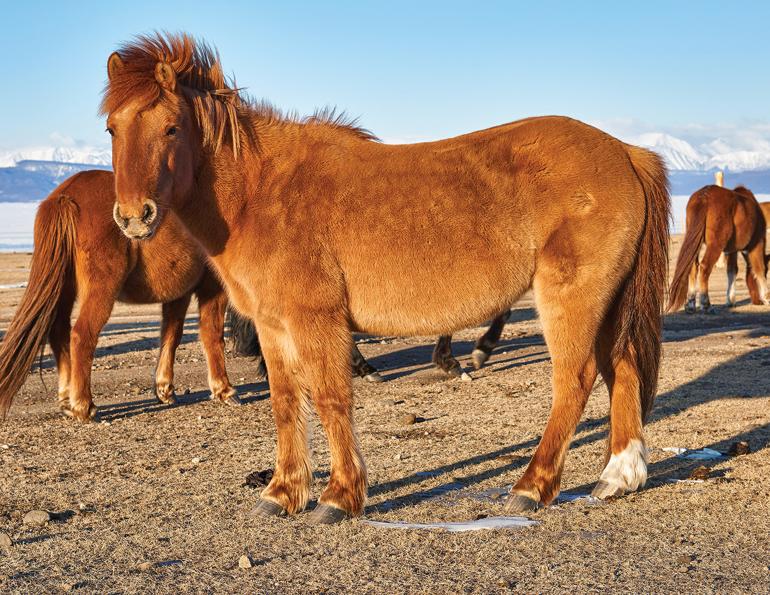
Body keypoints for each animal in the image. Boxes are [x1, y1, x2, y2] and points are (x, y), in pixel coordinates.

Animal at [0, 169, 244, 422]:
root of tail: (66, 194)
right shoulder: (213, 287)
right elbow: (212, 334)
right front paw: (224, 390)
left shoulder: (179, 293)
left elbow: (171, 336)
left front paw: (165, 389)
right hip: (101, 289)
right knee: (81, 335)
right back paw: (83, 406)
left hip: (65, 289)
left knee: (60, 334)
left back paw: (67, 400)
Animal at [103, 33, 669, 523]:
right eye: (112, 128)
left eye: (172, 128)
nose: (134, 217)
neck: (261, 192)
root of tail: (626, 152)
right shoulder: (271, 326)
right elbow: (286, 403)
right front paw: (283, 493)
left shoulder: (316, 322)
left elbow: (331, 399)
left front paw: (338, 496)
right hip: (608, 302)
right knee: (622, 367)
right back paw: (619, 476)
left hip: (572, 299)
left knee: (575, 380)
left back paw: (531, 486)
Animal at [668, 185, 768, 313]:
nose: (757, 301)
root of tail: (704, 196)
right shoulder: (756, 244)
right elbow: (759, 269)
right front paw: (767, 296)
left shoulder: (732, 250)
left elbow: (732, 271)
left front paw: (730, 300)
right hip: (715, 245)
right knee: (705, 267)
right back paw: (706, 304)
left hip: (696, 242)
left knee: (693, 268)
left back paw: (691, 305)